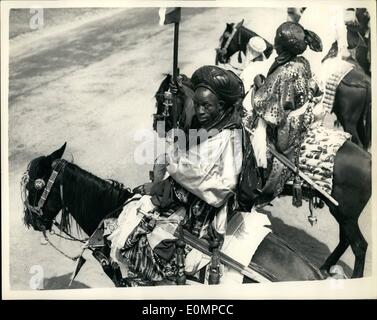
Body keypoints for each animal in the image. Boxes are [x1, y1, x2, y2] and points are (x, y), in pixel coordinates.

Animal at [154, 74, 372, 278]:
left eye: (160, 98)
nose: (156, 124)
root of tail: (369, 161)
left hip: (345, 214)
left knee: (359, 246)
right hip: (343, 214)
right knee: (345, 241)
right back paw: (325, 267)